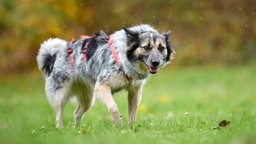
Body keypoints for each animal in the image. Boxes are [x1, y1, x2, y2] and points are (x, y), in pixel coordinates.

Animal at [37, 24, 175, 127]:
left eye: (161, 48)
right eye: (146, 47)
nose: (156, 62)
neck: (124, 60)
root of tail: (56, 56)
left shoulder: (135, 91)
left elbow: (133, 113)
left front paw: (130, 130)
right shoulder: (102, 86)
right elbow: (113, 107)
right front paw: (118, 123)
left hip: (87, 99)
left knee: (76, 113)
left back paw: (78, 130)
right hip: (61, 94)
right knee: (59, 114)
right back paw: (60, 128)